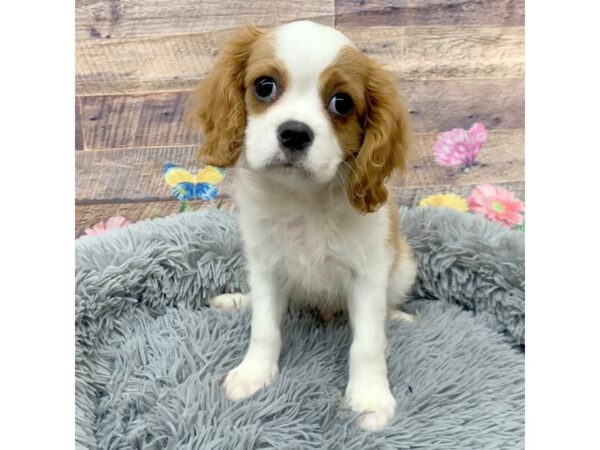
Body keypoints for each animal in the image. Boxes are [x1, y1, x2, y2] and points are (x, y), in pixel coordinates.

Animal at [190, 21, 414, 432]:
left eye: (341, 103)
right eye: (264, 86)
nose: (294, 133)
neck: (304, 198)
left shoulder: (369, 273)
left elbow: (367, 343)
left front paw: (369, 398)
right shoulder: (265, 266)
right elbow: (264, 327)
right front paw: (254, 374)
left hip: (404, 266)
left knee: (386, 306)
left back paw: (396, 316)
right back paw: (236, 300)